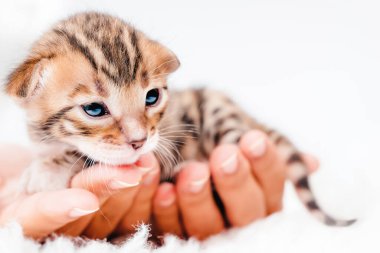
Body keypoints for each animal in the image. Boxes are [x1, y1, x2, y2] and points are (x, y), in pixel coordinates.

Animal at [3, 11, 354, 226]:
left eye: (151, 97)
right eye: (94, 109)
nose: (139, 140)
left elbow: (84, 154)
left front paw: (48, 170)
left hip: (221, 118)